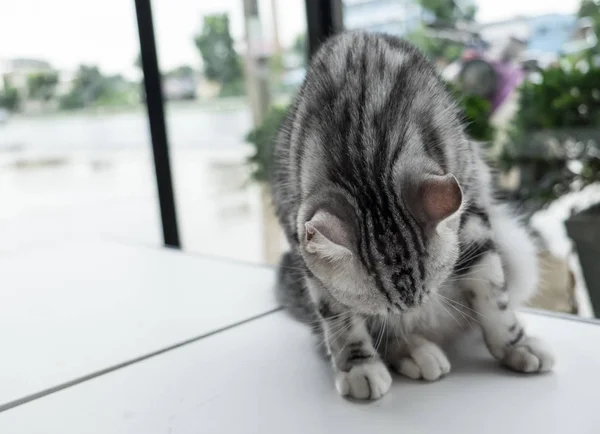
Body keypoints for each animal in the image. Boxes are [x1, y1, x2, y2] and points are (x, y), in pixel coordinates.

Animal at [270, 32, 552, 402]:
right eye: (383, 306)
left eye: (431, 288)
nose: (412, 315)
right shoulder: (305, 248)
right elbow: (339, 319)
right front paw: (357, 364)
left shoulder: (473, 213)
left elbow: (493, 296)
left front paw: (514, 345)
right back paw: (414, 350)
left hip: (517, 249)